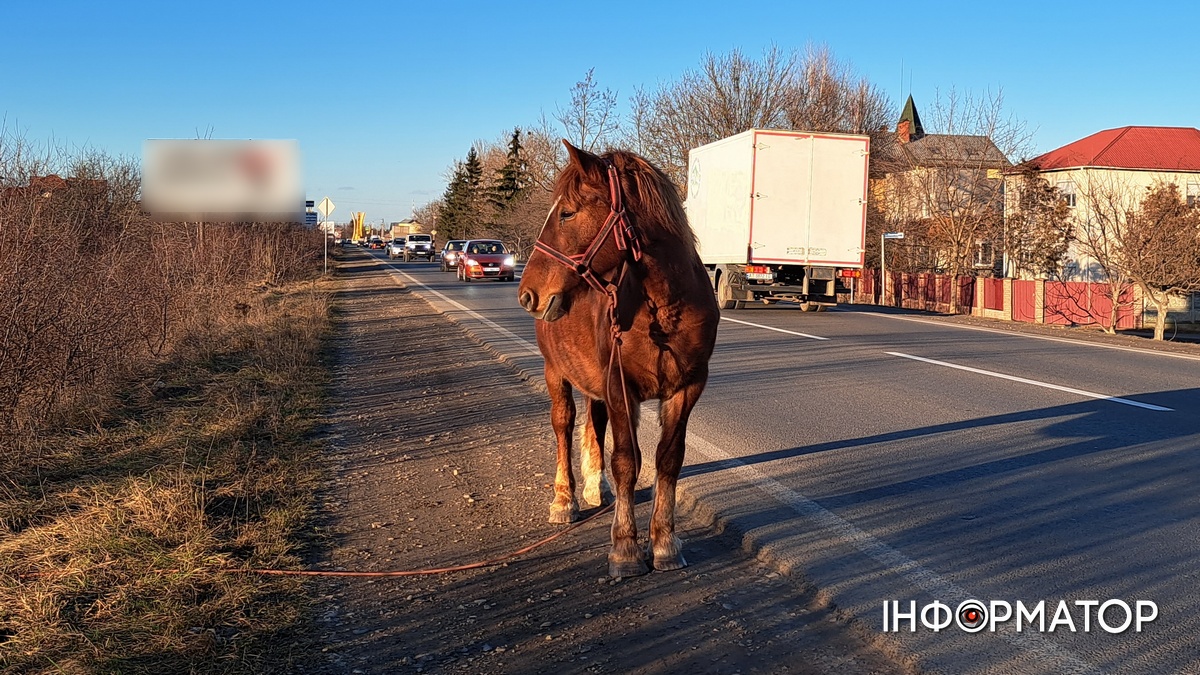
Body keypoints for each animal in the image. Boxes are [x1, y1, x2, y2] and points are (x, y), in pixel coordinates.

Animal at [518, 140, 720, 571]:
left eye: (567, 212)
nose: (527, 293)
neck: (663, 307)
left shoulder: (687, 388)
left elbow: (668, 460)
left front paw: (664, 541)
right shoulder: (620, 388)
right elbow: (627, 461)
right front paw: (625, 547)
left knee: (594, 425)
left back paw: (596, 487)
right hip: (555, 372)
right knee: (563, 425)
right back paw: (565, 499)